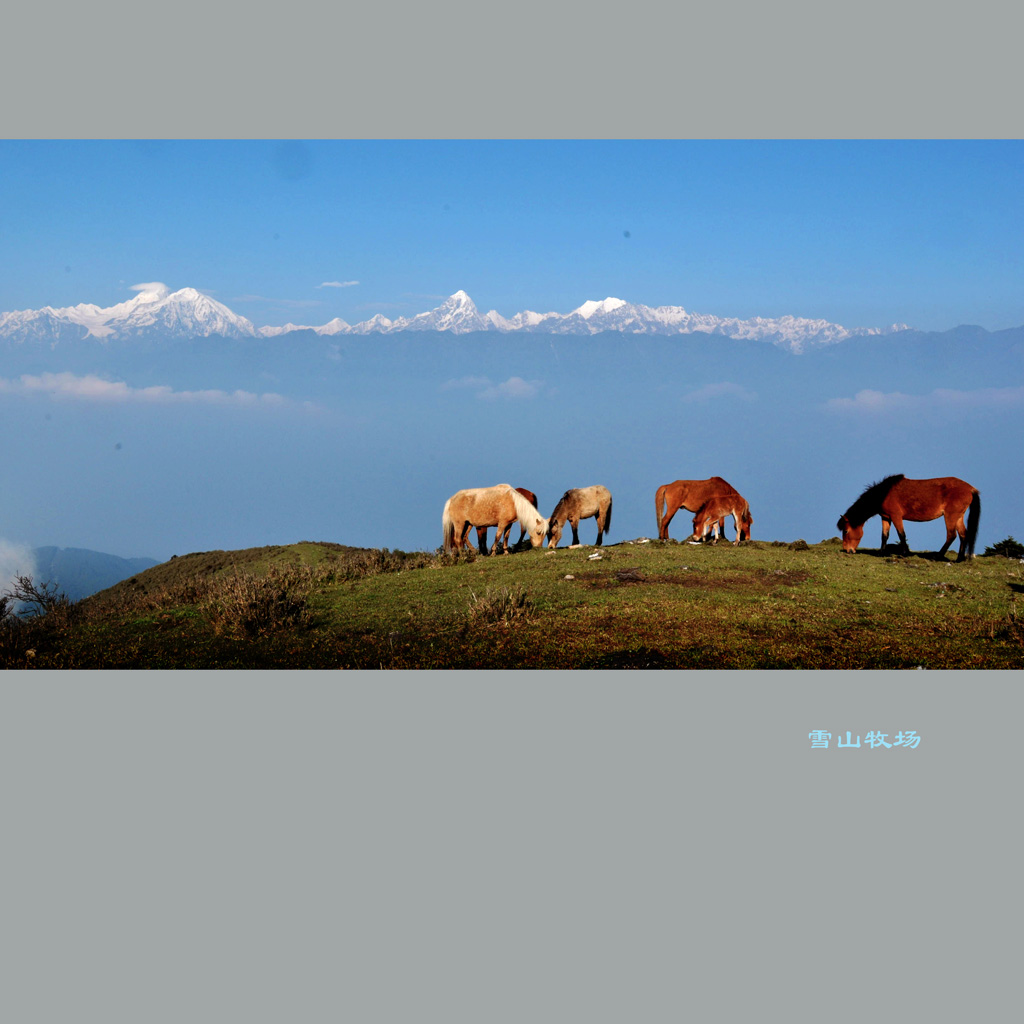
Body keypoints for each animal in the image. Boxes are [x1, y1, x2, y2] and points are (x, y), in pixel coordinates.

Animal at [839, 475, 983, 565]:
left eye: (845, 531)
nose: (848, 550)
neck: (884, 494)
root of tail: (971, 489)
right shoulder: (886, 517)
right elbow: (884, 535)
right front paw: (881, 553)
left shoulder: (896, 516)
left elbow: (901, 534)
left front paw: (905, 553)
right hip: (958, 517)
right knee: (963, 535)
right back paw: (959, 559)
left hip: (950, 516)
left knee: (951, 535)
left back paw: (937, 556)